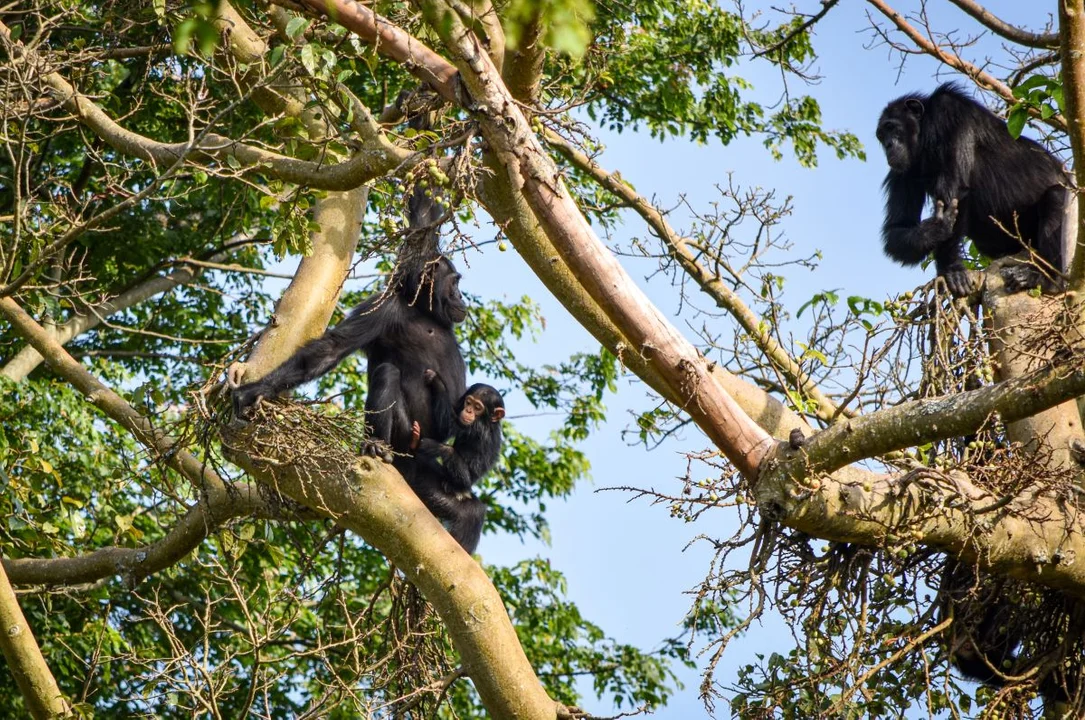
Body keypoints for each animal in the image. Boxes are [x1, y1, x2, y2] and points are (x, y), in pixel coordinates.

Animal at [228, 185, 466, 455]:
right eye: (454, 283)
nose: (460, 295)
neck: (420, 307)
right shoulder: (379, 311)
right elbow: (333, 348)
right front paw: (257, 389)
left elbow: (425, 218)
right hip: (408, 435)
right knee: (386, 373)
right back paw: (376, 445)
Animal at [403, 370, 507, 550]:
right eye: (468, 402)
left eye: (478, 407)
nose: (469, 410)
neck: (488, 422)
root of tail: (464, 489)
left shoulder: (475, 428)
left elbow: (449, 426)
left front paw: (436, 381)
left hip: (462, 481)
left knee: (449, 451)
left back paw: (418, 442)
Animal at [872, 82, 1067, 297]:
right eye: (881, 135)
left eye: (891, 127)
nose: (889, 145)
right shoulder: (901, 172)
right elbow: (898, 228)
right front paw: (935, 230)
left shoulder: (949, 111)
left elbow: (956, 189)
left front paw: (951, 270)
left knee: (1057, 196)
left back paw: (1046, 279)